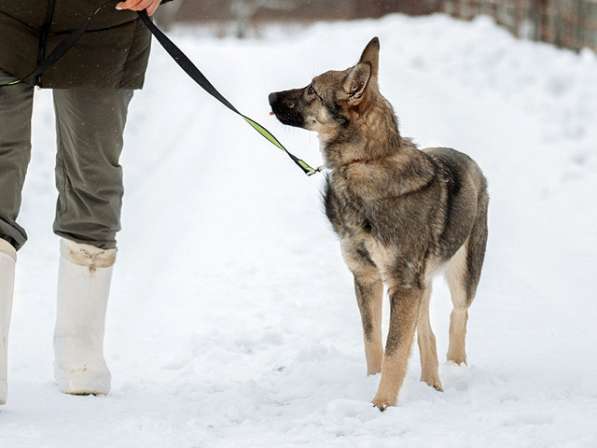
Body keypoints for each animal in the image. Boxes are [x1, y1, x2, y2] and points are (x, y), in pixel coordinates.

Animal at [268, 37, 486, 410]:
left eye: (311, 90)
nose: (269, 96)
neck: (367, 160)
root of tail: (468, 160)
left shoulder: (402, 285)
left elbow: (394, 350)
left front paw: (382, 404)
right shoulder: (368, 278)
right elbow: (374, 343)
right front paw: (373, 385)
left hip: (461, 274)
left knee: (458, 316)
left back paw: (455, 368)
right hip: (421, 283)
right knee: (426, 332)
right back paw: (432, 382)